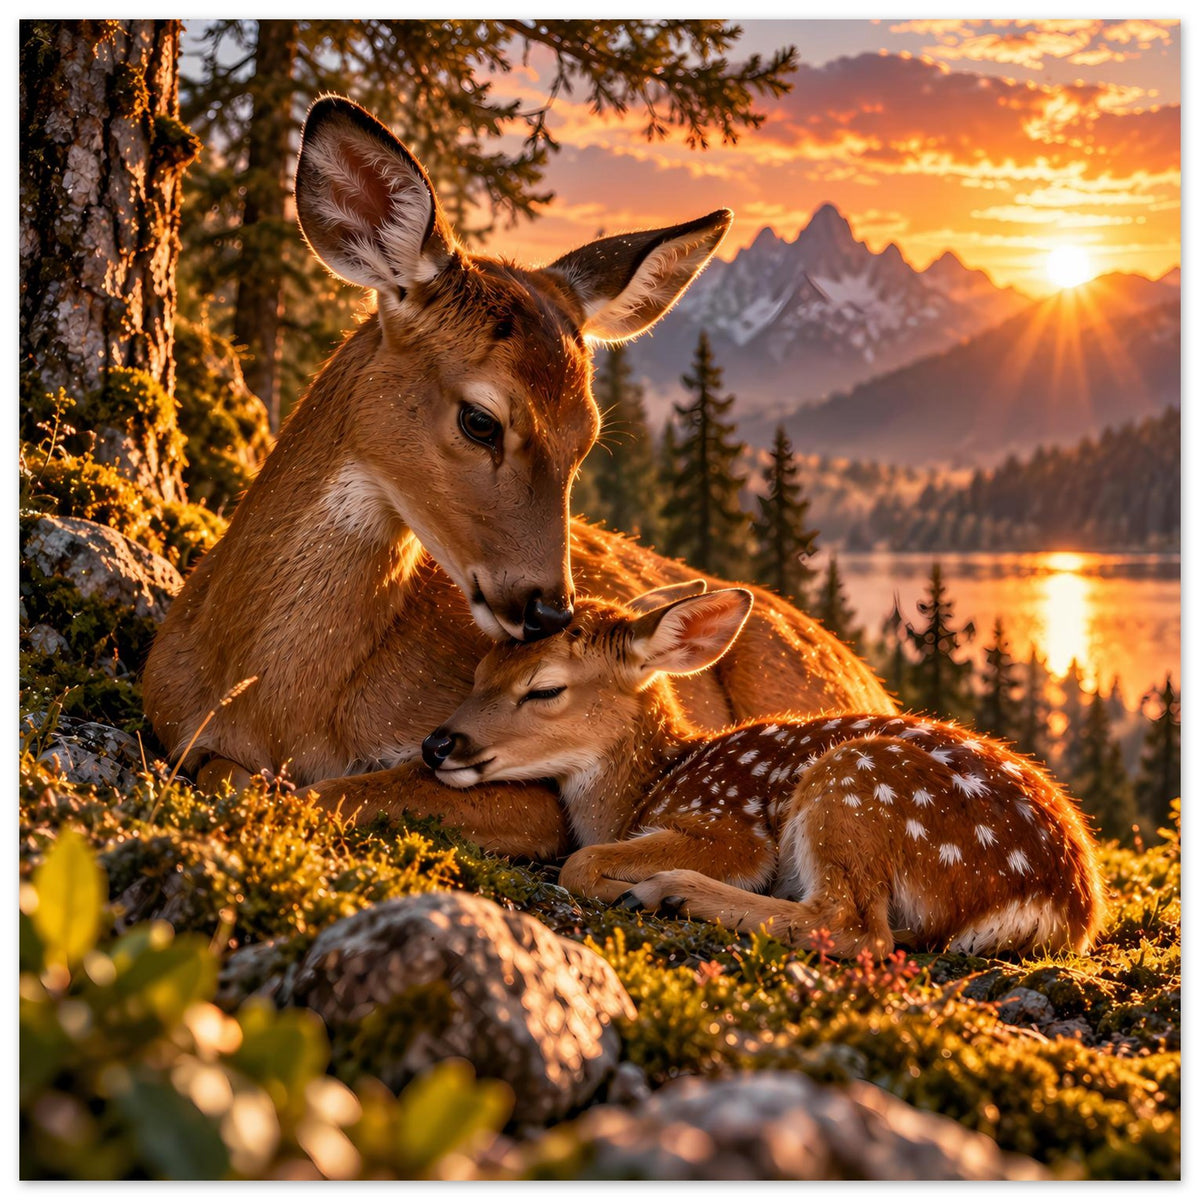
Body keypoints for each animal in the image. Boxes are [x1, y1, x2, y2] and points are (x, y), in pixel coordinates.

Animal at [143, 95, 895, 862]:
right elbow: (234, 775)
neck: (271, 702)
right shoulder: (170, 720)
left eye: (587, 437)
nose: (550, 610)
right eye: (481, 420)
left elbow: (331, 792)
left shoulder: (531, 794)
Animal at [423, 583, 1105, 957]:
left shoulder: (729, 826)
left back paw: (671, 892)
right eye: (480, 669)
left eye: (544, 689)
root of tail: (1062, 906)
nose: (437, 744)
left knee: (854, 926)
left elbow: (581, 860)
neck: (647, 787)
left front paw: (627, 884)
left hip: (855, 785)